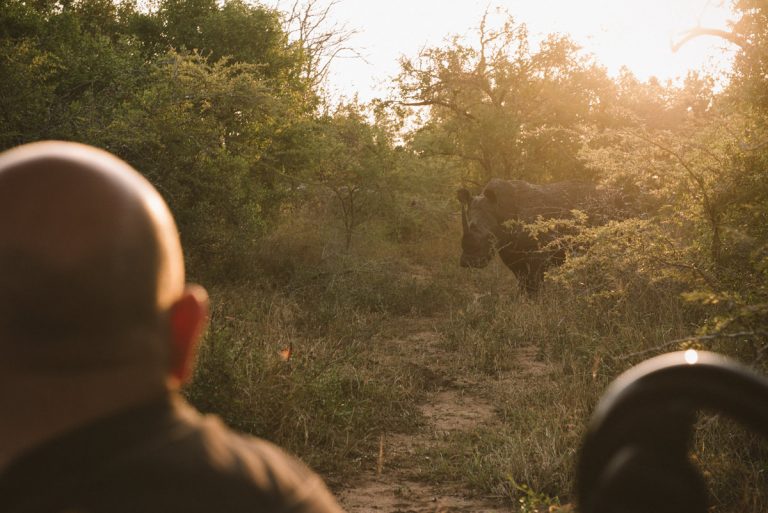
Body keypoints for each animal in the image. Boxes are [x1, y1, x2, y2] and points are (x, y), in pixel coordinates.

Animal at [460, 179, 616, 292]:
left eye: (489, 237)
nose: (469, 262)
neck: (500, 209)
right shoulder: (511, 253)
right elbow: (523, 283)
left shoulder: (537, 256)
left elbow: (534, 283)